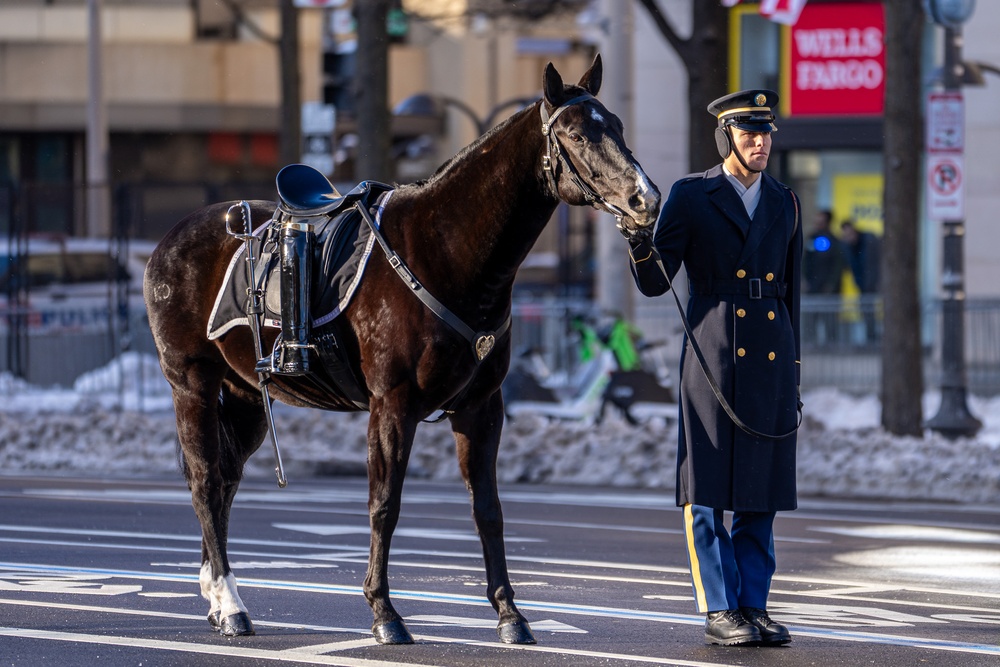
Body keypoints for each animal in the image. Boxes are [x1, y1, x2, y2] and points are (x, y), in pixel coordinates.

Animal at [141, 57, 656, 648]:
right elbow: (384, 504)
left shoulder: (482, 407)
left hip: (246, 393)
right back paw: (229, 603)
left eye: (615, 124)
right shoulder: (392, 405)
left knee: (224, 480)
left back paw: (214, 592)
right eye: (576, 134)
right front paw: (385, 612)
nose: (645, 200)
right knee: (205, 481)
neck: (447, 251)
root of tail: (169, 240)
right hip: (192, 384)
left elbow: (488, 509)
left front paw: (509, 613)